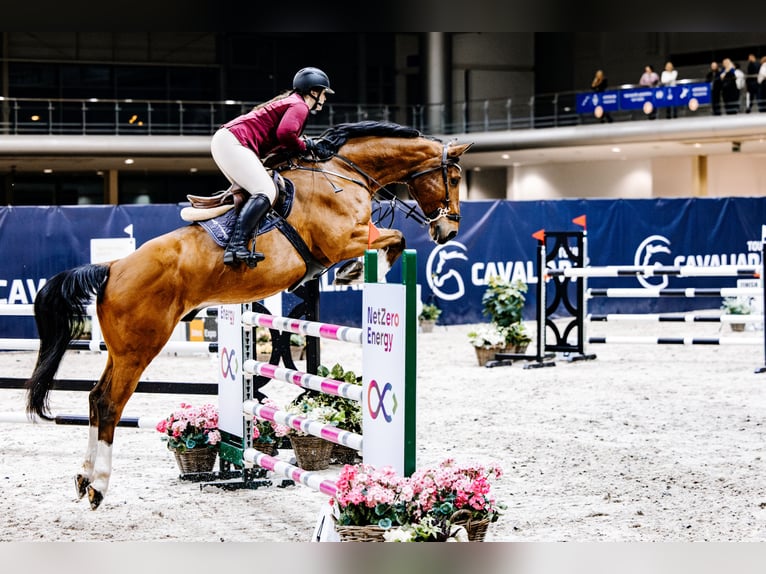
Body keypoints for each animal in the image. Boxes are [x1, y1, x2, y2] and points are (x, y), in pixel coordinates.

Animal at [24, 119, 474, 510]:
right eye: (454, 179)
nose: (448, 232)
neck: (343, 173)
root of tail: (113, 267)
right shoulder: (341, 240)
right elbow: (393, 239)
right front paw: (361, 271)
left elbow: (389, 239)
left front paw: (361, 272)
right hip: (140, 348)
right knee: (110, 403)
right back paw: (99, 486)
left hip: (121, 350)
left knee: (94, 398)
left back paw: (84, 479)